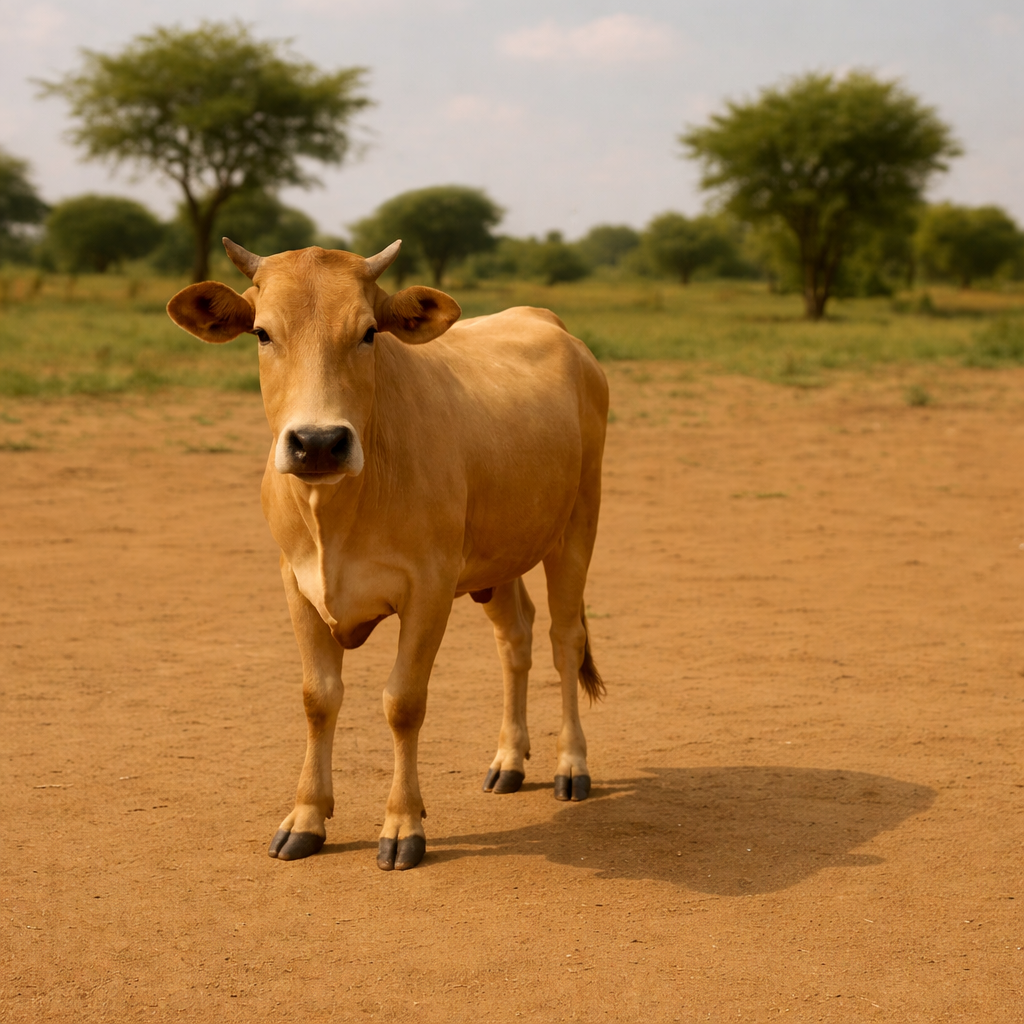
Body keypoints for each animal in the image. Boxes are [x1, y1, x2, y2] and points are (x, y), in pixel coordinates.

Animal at [166, 238, 608, 871]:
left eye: (369, 332)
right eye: (262, 333)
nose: (318, 443)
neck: (336, 510)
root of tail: (549, 323)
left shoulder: (429, 588)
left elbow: (403, 702)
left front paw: (403, 825)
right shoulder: (296, 583)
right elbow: (318, 699)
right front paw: (306, 817)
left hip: (577, 525)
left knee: (564, 640)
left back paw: (571, 764)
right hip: (498, 557)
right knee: (516, 638)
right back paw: (509, 759)